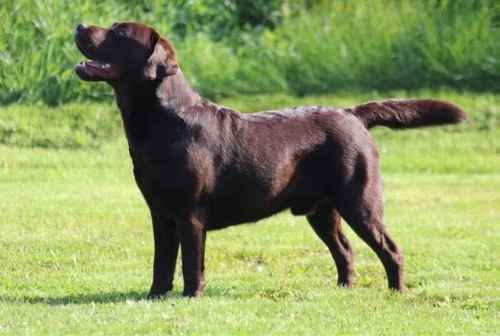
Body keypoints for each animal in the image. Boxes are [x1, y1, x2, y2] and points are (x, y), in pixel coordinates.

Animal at [73, 22, 464, 298]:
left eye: (118, 33)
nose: (78, 25)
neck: (163, 118)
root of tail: (351, 113)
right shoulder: (160, 213)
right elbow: (162, 262)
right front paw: (155, 296)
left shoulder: (189, 215)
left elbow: (191, 263)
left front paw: (190, 296)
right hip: (322, 211)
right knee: (345, 250)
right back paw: (344, 288)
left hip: (361, 202)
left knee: (391, 249)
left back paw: (396, 292)